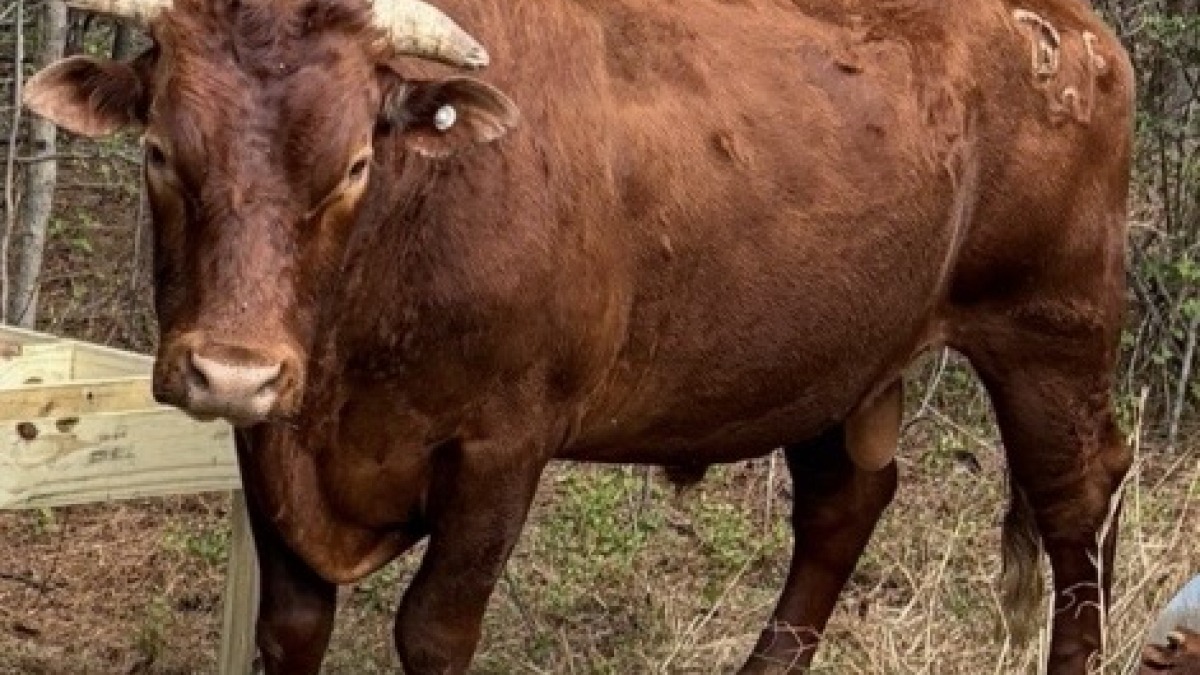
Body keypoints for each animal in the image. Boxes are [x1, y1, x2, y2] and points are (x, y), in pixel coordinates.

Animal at [23, 0, 1135, 672]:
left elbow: (434, 629)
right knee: (845, 505)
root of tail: (1075, 29)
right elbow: (292, 625)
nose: (231, 369)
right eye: (160, 151)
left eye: (352, 165)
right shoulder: (276, 442)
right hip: (841, 354)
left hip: (1049, 330)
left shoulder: (500, 446)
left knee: (1077, 495)